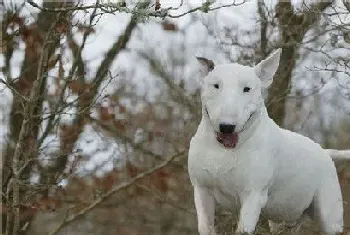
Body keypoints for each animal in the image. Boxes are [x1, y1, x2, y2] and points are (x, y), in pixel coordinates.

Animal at [189, 48, 350, 235]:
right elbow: (205, 226)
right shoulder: (201, 191)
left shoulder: (253, 195)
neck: (224, 150)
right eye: (216, 85)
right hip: (282, 216)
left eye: (247, 89)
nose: (227, 127)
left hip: (329, 211)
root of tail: (325, 152)